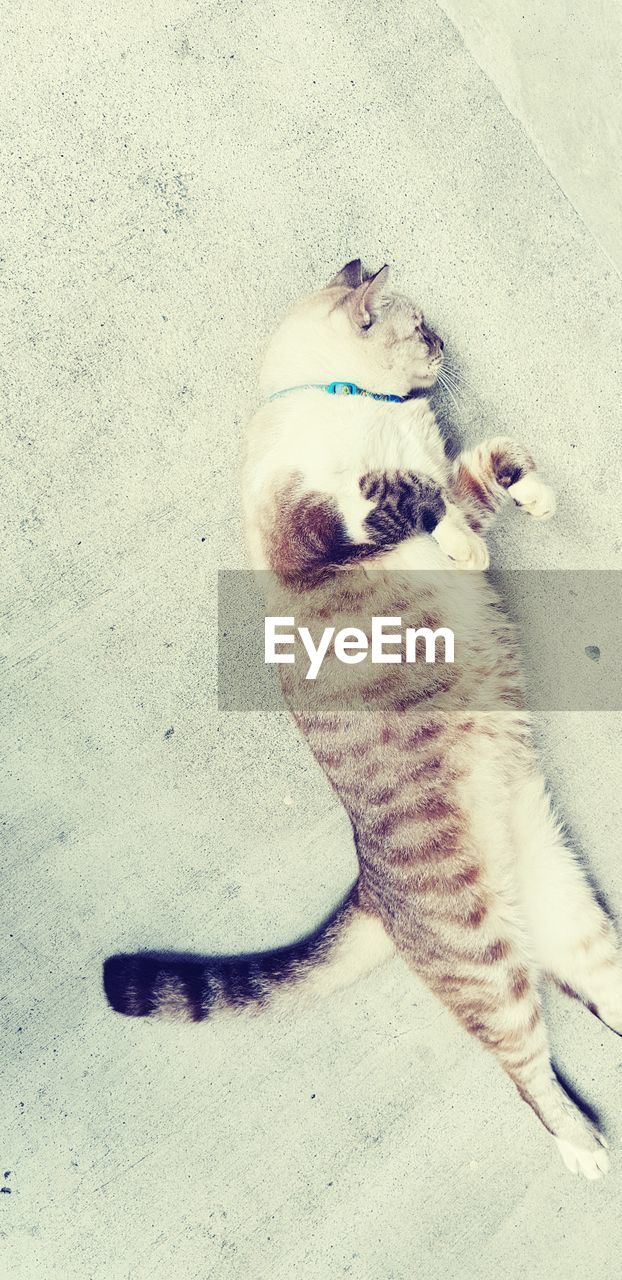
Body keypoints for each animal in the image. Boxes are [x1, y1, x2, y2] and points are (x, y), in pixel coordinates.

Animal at [104, 257, 619, 1177]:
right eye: (423, 330)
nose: (444, 350)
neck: (356, 404)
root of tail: (372, 886)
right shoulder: (322, 523)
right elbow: (413, 493)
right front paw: (463, 520)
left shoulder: (436, 477)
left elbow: (475, 473)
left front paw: (525, 494)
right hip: (488, 966)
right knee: (527, 1077)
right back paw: (585, 1150)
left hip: (570, 918)